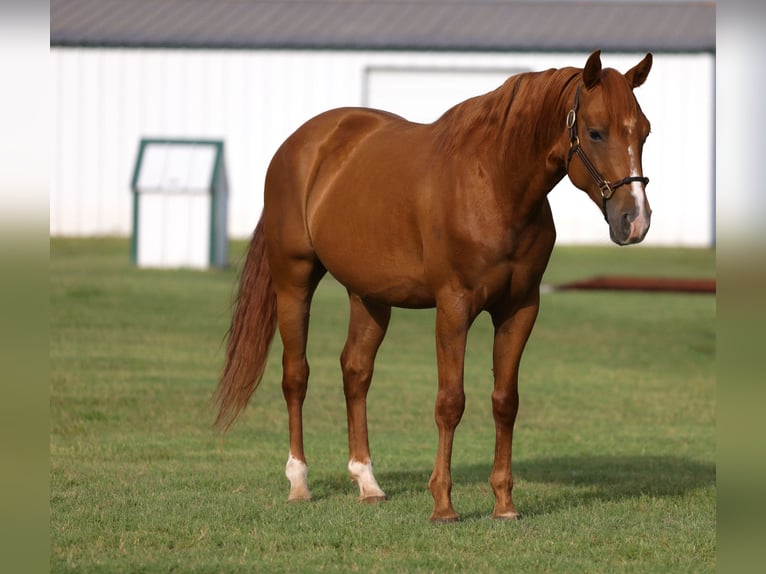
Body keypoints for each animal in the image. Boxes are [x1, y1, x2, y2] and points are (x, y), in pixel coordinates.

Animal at [214, 50, 654, 522]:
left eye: (644, 132)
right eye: (595, 132)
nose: (635, 221)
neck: (494, 184)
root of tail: (299, 144)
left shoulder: (520, 309)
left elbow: (505, 401)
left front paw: (504, 504)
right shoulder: (453, 307)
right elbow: (450, 402)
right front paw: (443, 504)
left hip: (370, 296)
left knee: (356, 372)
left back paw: (367, 482)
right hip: (293, 281)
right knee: (296, 375)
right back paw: (299, 482)